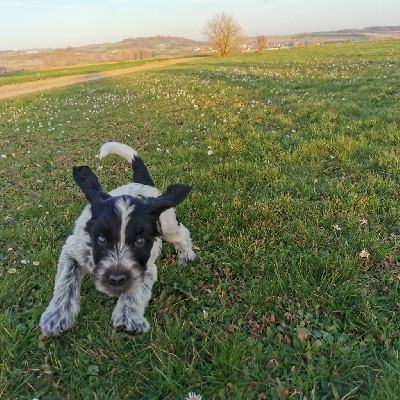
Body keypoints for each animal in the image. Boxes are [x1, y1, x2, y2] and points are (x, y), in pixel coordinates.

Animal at [40, 141, 195, 334]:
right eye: (102, 240)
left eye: (140, 242)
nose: (116, 279)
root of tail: (141, 183)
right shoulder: (72, 250)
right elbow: (66, 280)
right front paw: (57, 315)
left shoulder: (145, 268)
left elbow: (134, 290)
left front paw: (129, 317)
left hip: (167, 225)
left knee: (182, 234)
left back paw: (185, 254)